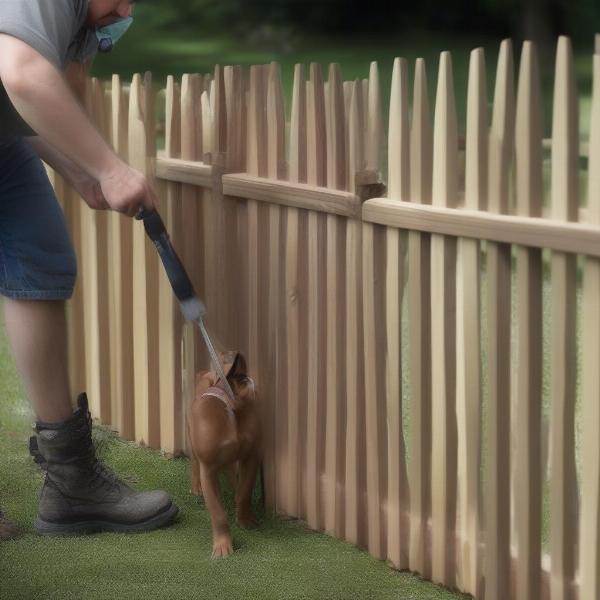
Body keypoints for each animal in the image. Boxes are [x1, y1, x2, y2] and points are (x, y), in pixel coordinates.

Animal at [188, 352, 262, 556]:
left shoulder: (250, 458)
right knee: (194, 463)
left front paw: (244, 519)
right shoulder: (208, 470)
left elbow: (244, 492)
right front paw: (222, 545)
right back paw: (196, 487)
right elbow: (218, 513)